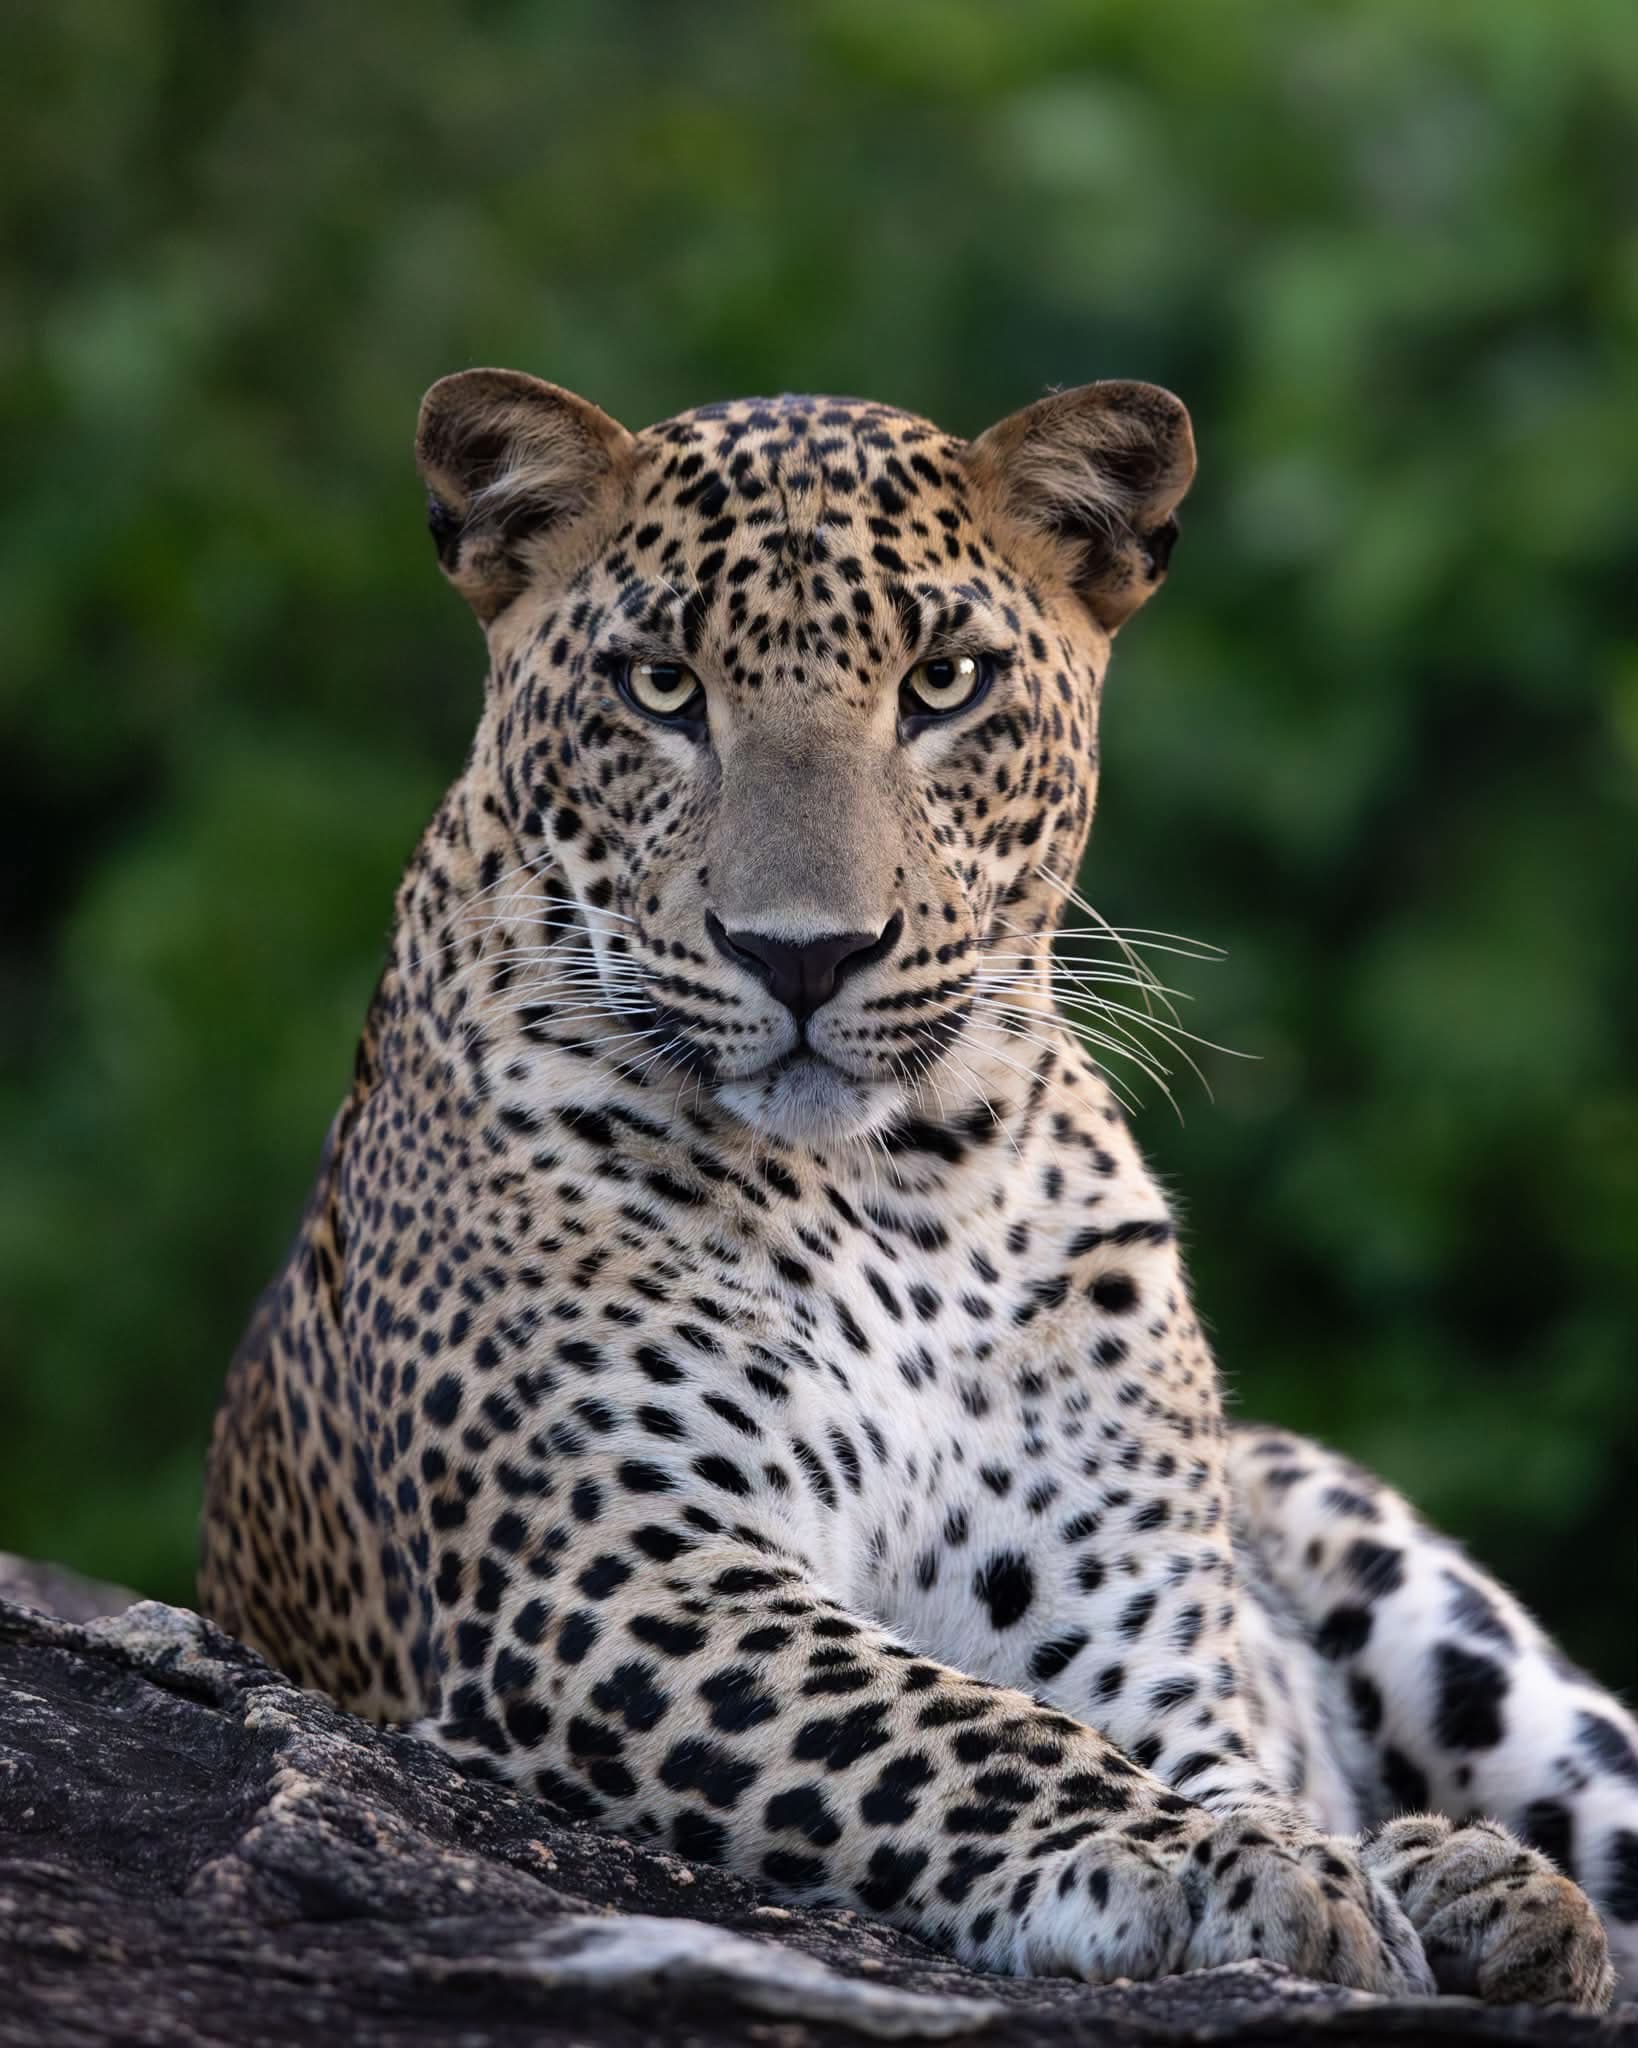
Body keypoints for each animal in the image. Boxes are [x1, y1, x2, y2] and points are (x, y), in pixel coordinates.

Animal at [200, 368, 1636, 2009]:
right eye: (660, 687)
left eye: (944, 684)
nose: (804, 954)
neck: (904, 1194)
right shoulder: (605, 1574)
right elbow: (937, 1723)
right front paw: (1215, 1861)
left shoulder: (1124, 1628)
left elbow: (1144, 1738)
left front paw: (1320, 1855)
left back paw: (1487, 1880)